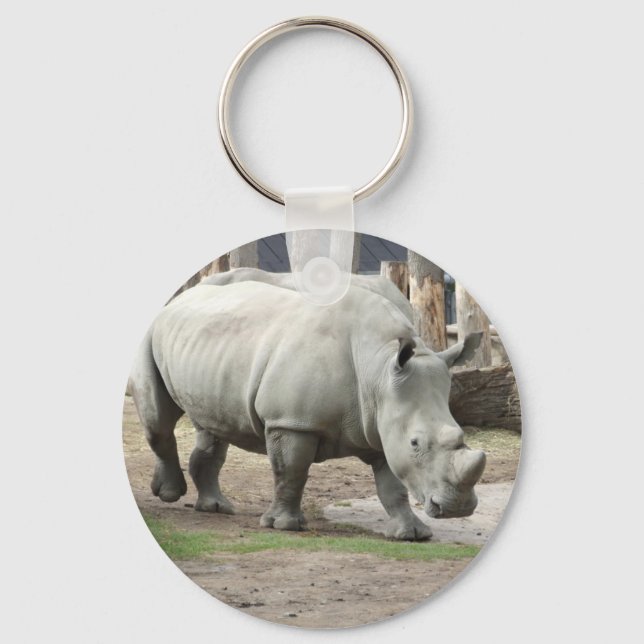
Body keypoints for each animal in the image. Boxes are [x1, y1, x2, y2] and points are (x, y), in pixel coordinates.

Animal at [130, 272, 485, 541]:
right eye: (416, 443)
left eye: (461, 436)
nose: (458, 508)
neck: (378, 369)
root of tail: (179, 299)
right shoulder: (292, 421)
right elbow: (291, 472)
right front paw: (284, 526)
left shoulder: (382, 422)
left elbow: (392, 484)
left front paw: (412, 534)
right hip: (151, 335)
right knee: (159, 421)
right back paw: (170, 495)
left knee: (212, 427)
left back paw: (217, 507)